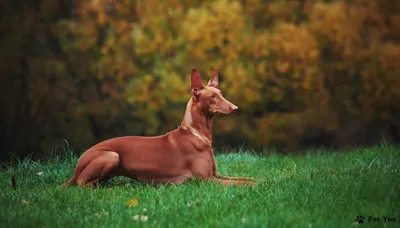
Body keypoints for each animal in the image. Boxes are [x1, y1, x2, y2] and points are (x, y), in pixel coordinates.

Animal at [62, 67, 256, 187]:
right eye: (213, 97)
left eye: (221, 94)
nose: (235, 108)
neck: (197, 134)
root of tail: (77, 166)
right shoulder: (205, 180)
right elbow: (243, 183)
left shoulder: (216, 175)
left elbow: (249, 178)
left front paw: (261, 181)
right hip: (111, 155)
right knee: (83, 185)